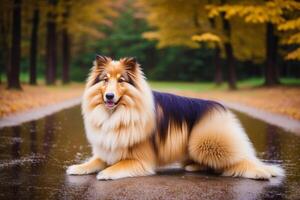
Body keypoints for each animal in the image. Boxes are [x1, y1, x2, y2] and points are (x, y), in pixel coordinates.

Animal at [67, 55, 284, 180]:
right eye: (105, 80)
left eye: (121, 80)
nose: (109, 96)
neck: (118, 114)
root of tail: (220, 107)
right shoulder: (107, 150)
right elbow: (93, 161)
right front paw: (78, 167)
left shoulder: (140, 160)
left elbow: (117, 166)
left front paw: (106, 173)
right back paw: (193, 166)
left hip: (204, 141)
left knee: (238, 161)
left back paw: (261, 172)